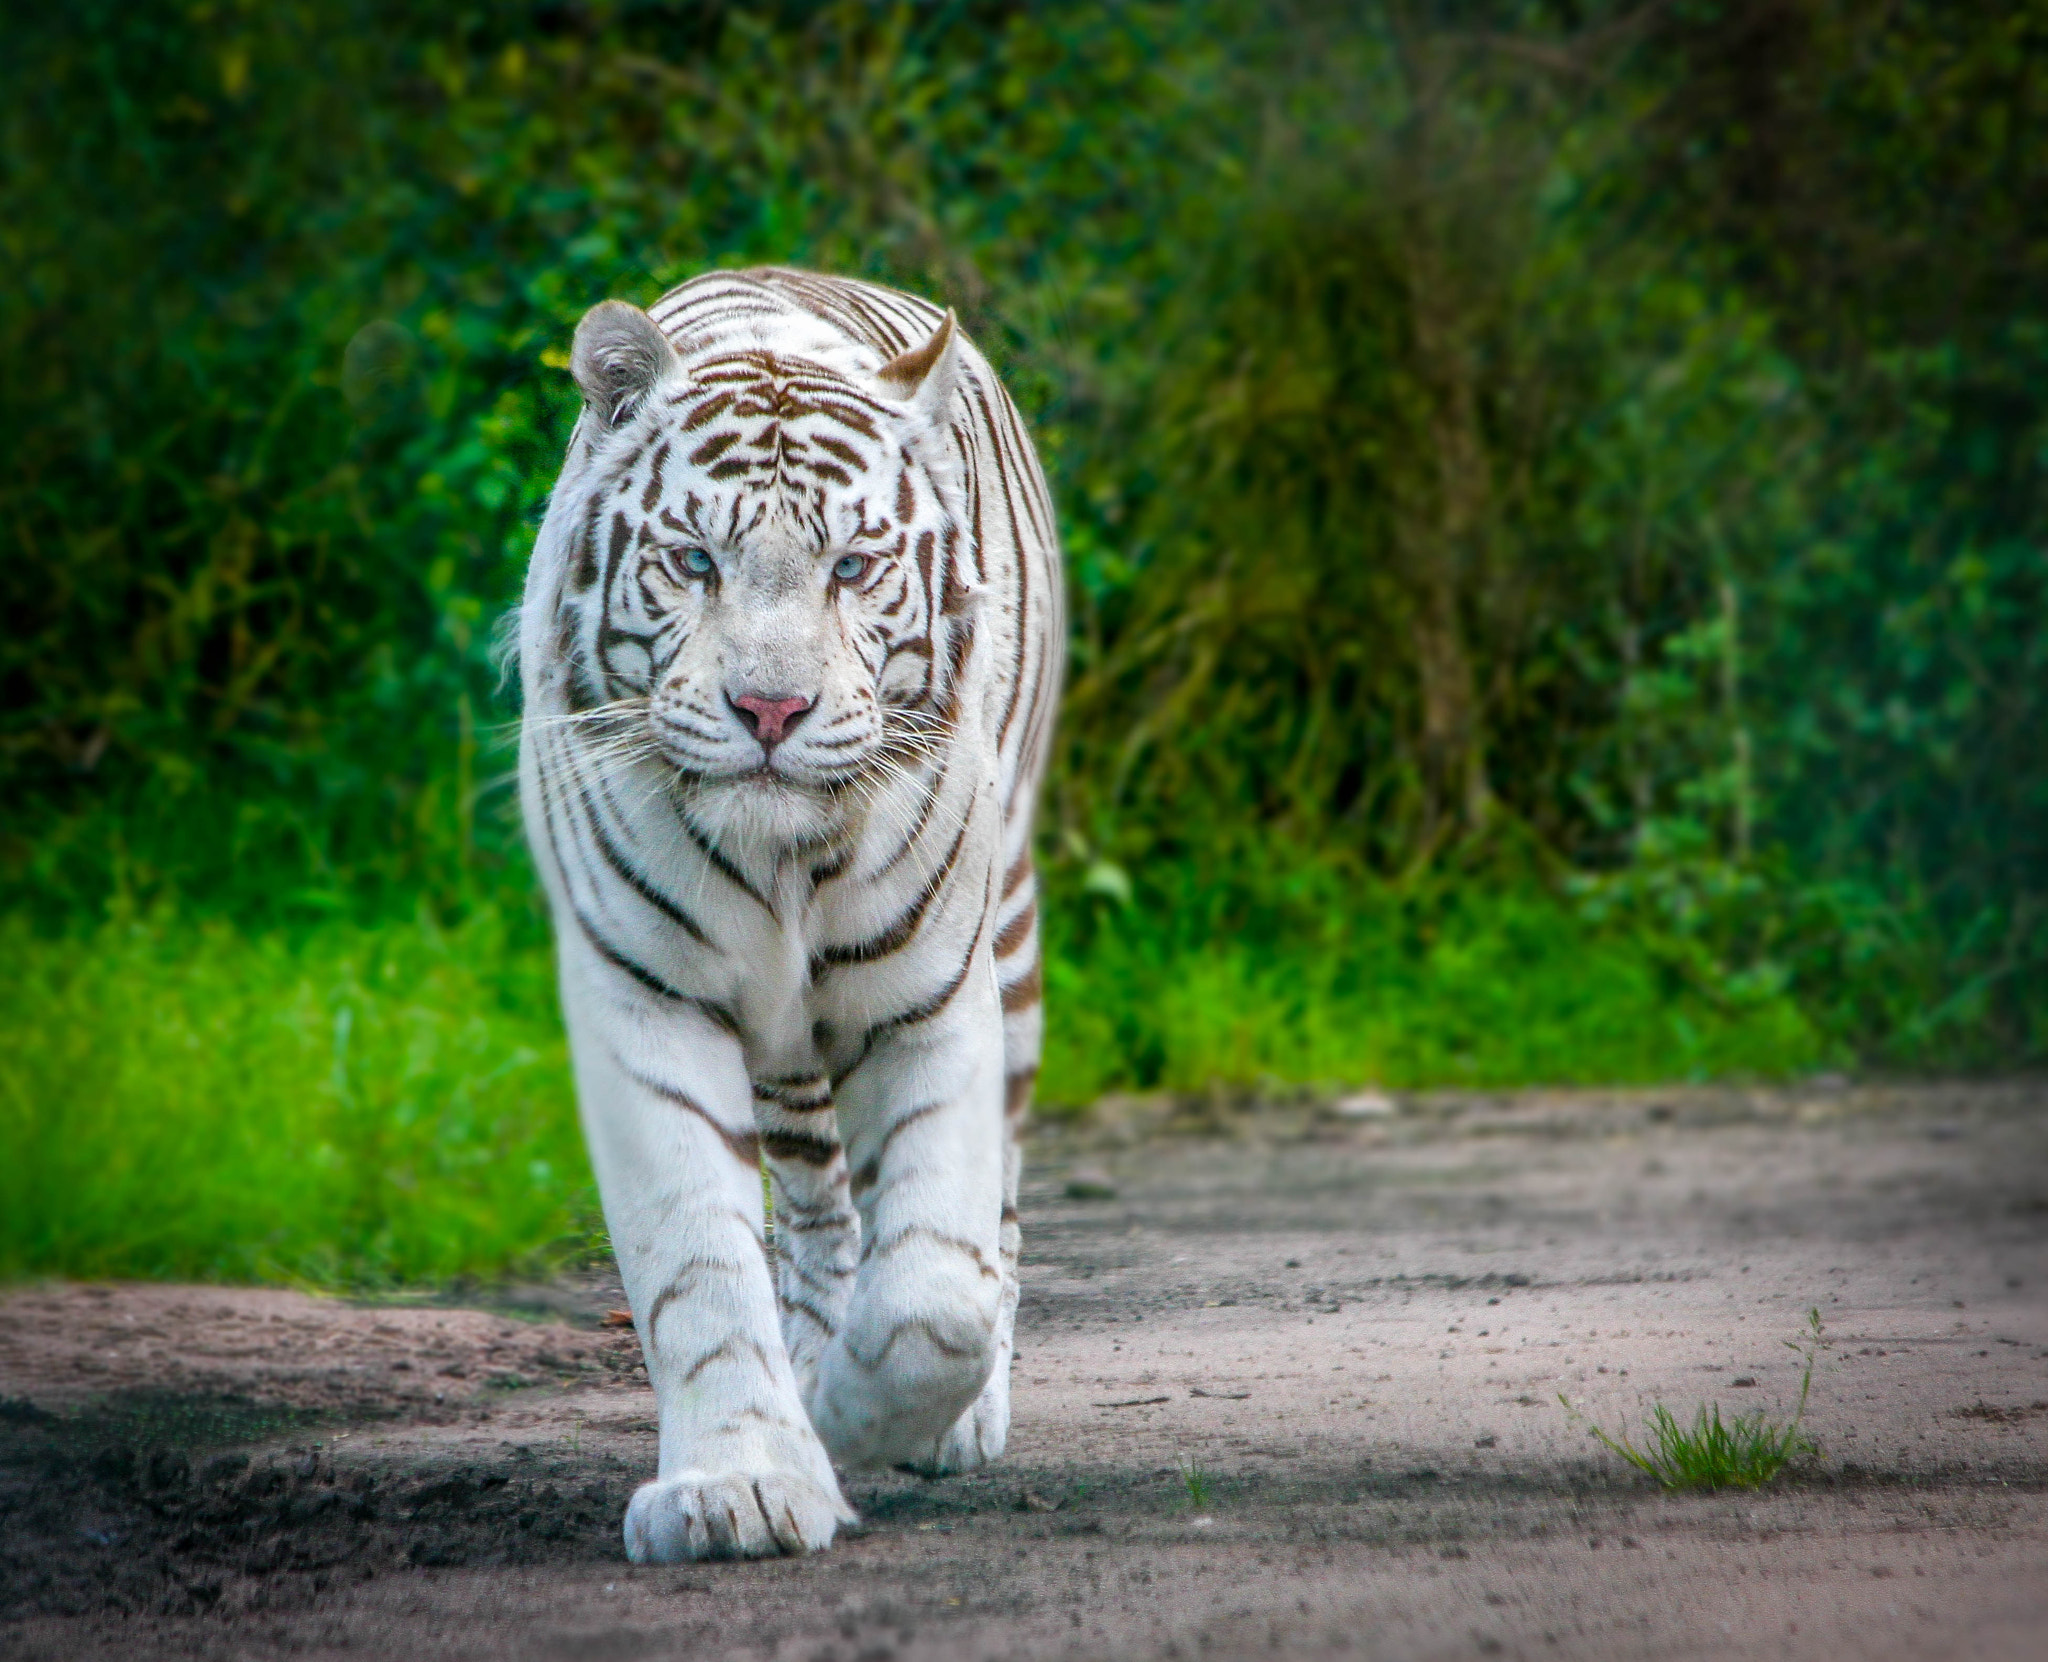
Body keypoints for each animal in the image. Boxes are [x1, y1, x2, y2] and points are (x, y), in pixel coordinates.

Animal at [516, 267, 1061, 1562]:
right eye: (693, 562)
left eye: (852, 570)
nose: (770, 710)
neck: (783, 867)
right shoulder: (645, 1000)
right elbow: (699, 1269)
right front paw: (744, 1481)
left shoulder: (930, 995)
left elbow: (935, 1293)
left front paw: (867, 1419)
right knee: (818, 1211)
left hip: (1008, 938)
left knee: (991, 1218)